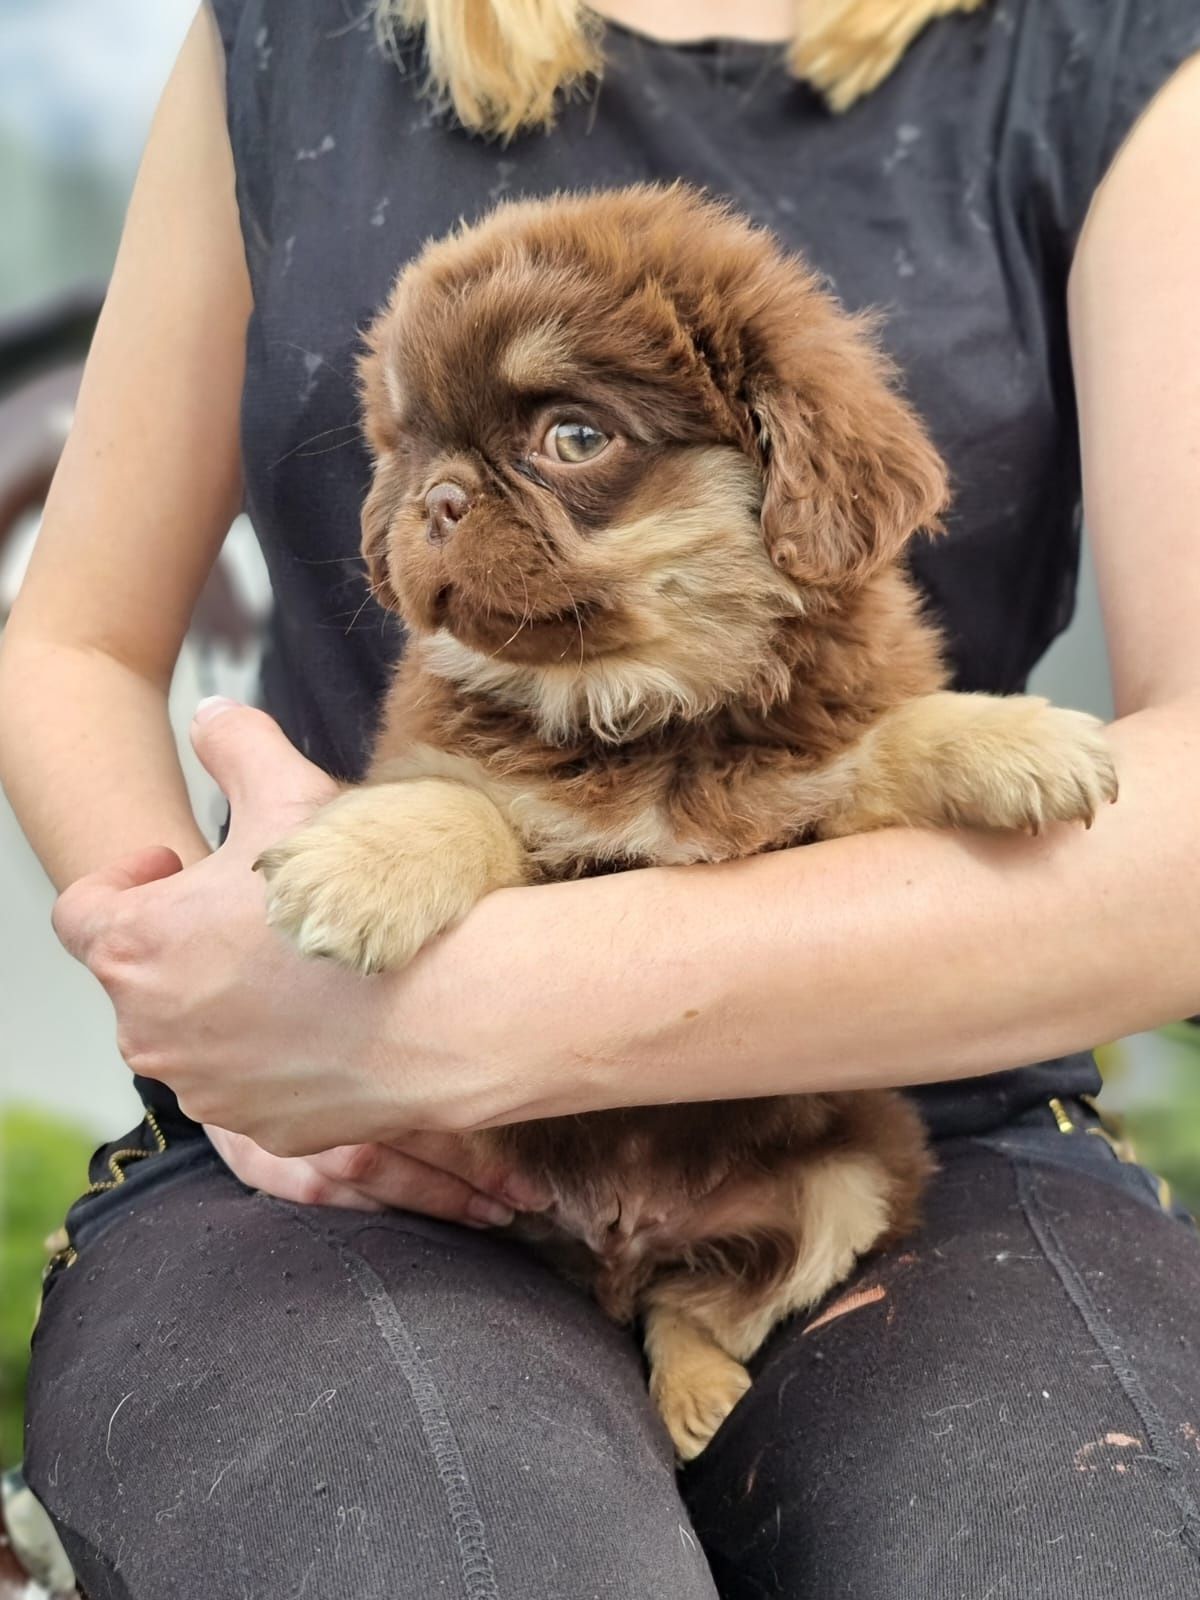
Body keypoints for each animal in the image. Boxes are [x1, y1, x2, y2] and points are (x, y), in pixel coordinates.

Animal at [256, 187, 1120, 1465]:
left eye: (574, 438)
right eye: (403, 447)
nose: (433, 500)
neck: (648, 706)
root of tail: (621, 1244)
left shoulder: (808, 809)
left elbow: (885, 746)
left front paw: (1019, 742)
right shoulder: (492, 798)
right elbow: (464, 801)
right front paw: (364, 866)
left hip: (850, 1174)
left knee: (696, 1300)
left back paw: (700, 1392)